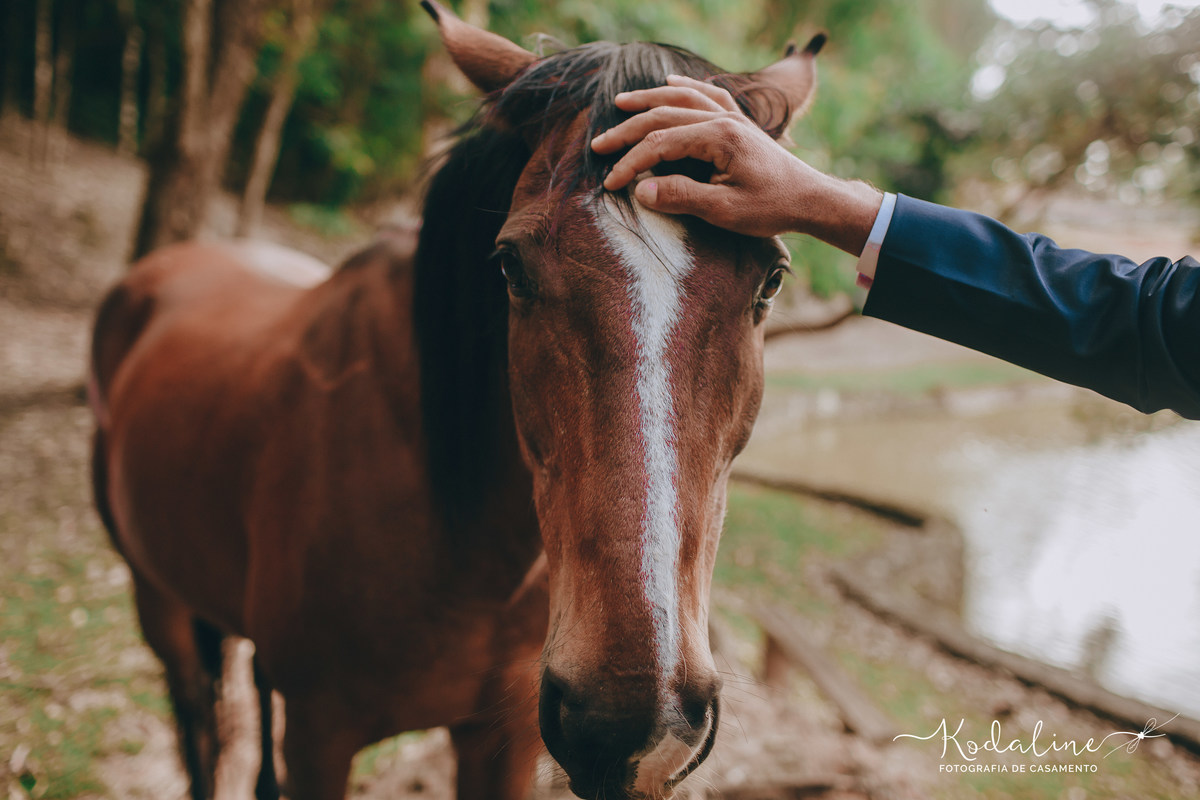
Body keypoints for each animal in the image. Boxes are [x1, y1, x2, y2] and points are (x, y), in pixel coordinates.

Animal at [88, 2, 823, 798]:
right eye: (510, 267)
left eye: (771, 279)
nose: (631, 721)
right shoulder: (319, 736)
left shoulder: (502, 739)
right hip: (157, 601)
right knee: (198, 726)